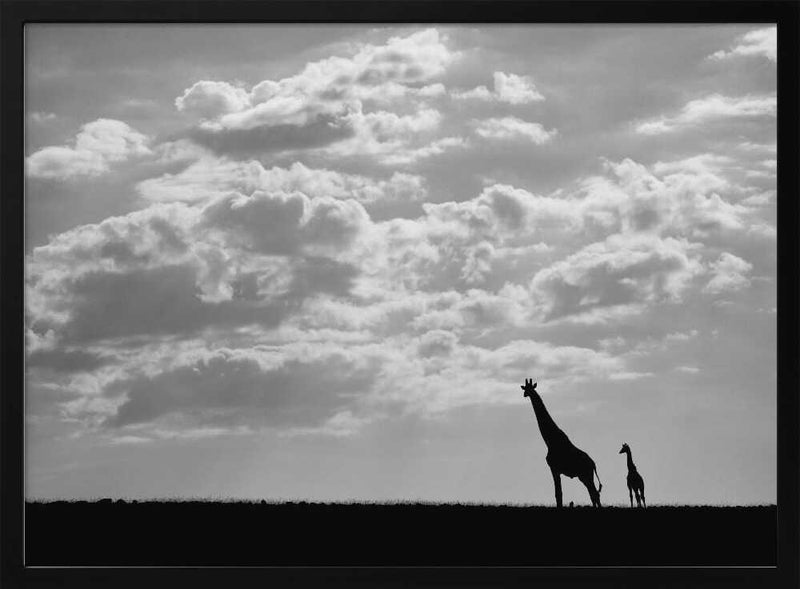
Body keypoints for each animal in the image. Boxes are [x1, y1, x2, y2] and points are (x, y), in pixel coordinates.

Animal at [521, 379, 603, 507]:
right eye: (525, 388)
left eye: (530, 389)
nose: (525, 394)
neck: (550, 440)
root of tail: (593, 464)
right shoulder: (556, 470)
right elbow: (558, 493)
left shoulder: (554, 468)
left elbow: (558, 493)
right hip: (584, 477)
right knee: (593, 494)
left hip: (586, 475)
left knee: (594, 494)